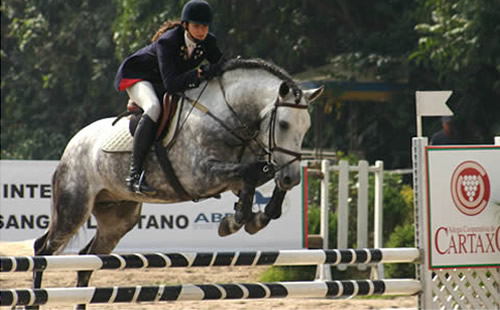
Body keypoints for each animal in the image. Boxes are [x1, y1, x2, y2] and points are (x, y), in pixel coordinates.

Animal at [29, 57, 324, 308]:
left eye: (307, 127)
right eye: (283, 124)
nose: (292, 177)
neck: (227, 116)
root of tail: (71, 146)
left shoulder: (234, 176)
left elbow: (259, 177)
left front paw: (253, 217)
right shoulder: (201, 176)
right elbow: (250, 173)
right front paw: (237, 220)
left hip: (118, 218)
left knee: (87, 258)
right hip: (74, 206)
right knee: (43, 249)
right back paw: (33, 298)